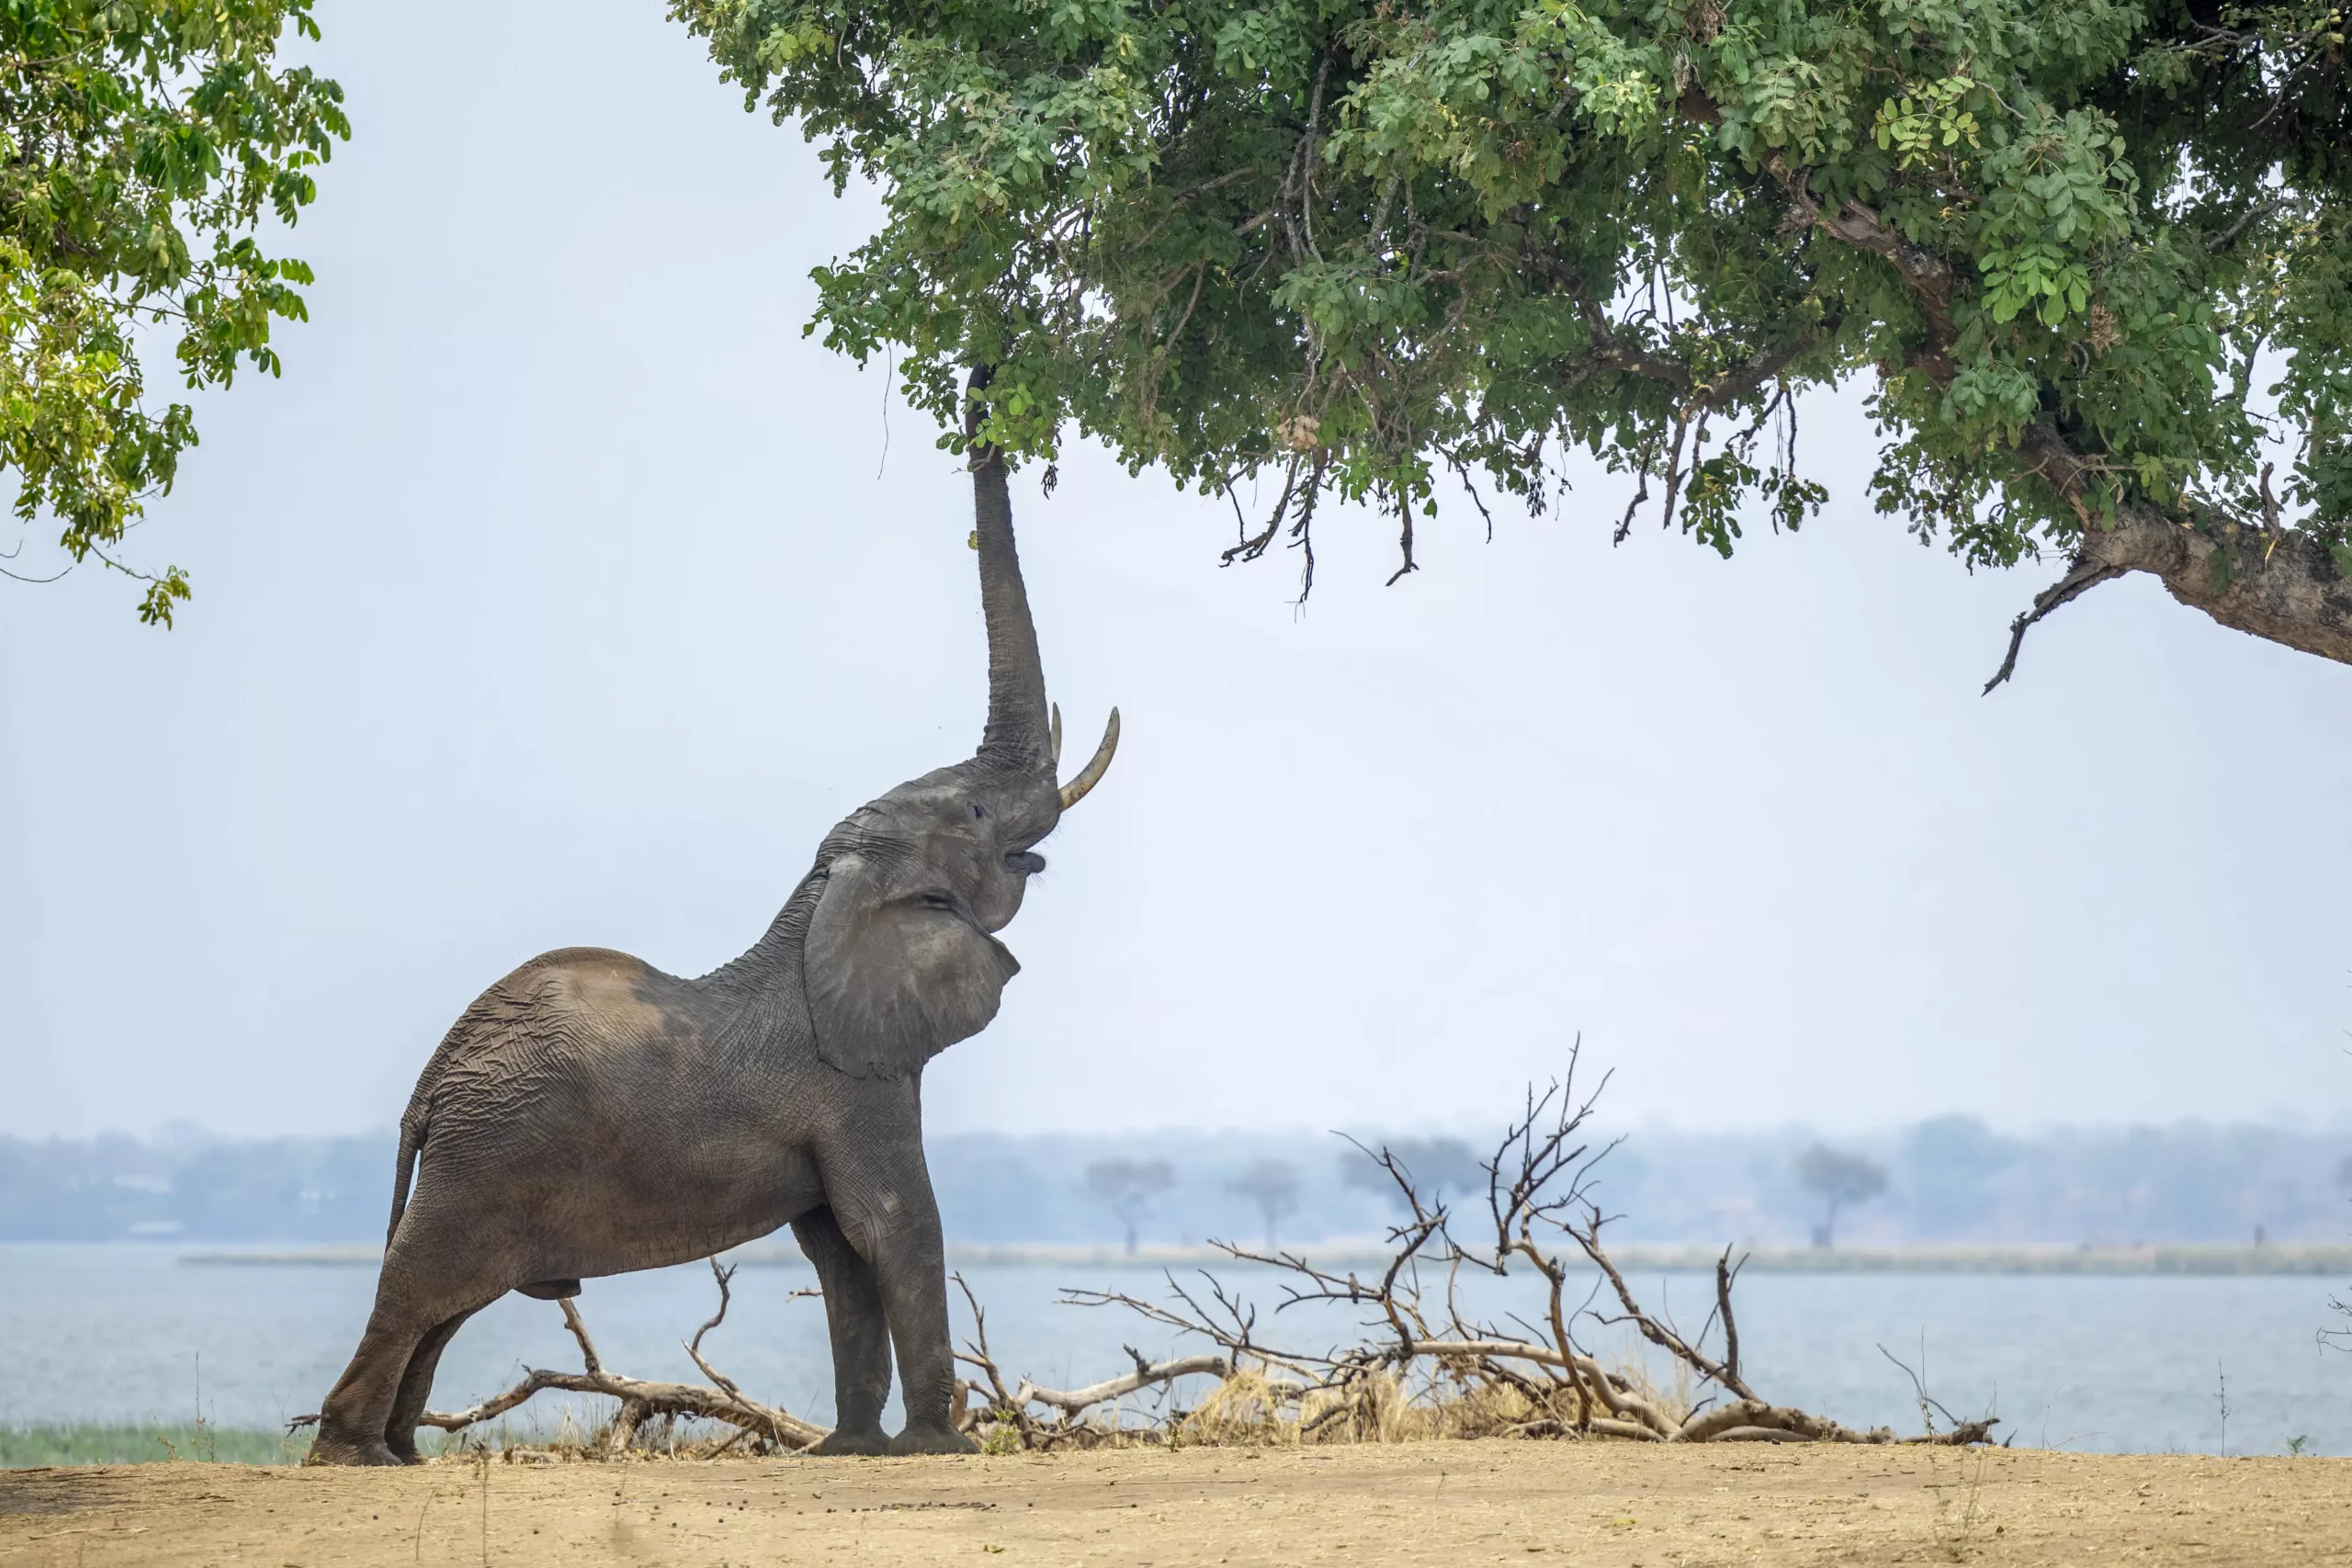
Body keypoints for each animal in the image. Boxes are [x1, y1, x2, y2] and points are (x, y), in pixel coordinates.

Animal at [308, 385, 1114, 1466]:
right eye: (979, 814)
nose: (982, 380)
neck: (821, 901)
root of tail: (429, 1086)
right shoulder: (856, 1082)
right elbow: (897, 1224)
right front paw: (945, 1449)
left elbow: (840, 1249)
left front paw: (849, 1451)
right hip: (486, 1154)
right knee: (418, 1289)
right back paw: (350, 1456)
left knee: (441, 1308)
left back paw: (398, 1453)